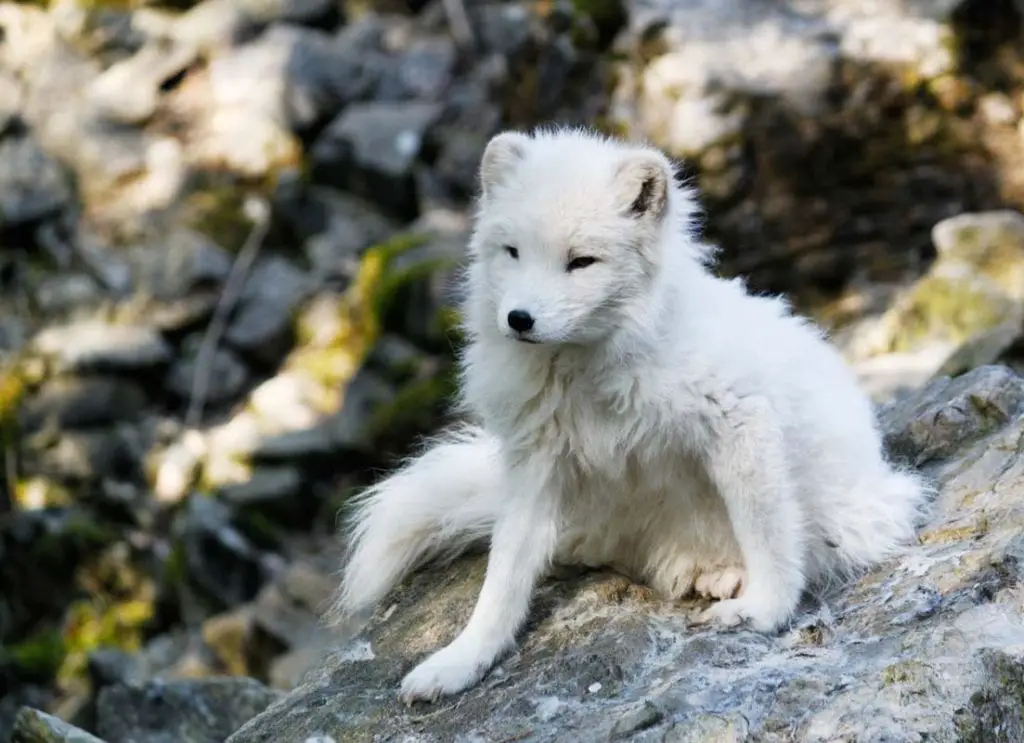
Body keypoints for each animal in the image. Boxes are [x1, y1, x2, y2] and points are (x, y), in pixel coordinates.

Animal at [327, 126, 929, 704]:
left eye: (580, 261)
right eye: (513, 251)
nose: (519, 319)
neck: (587, 369)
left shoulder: (742, 418)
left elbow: (768, 533)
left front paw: (765, 611)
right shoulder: (533, 462)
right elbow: (502, 579)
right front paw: (462, 660)